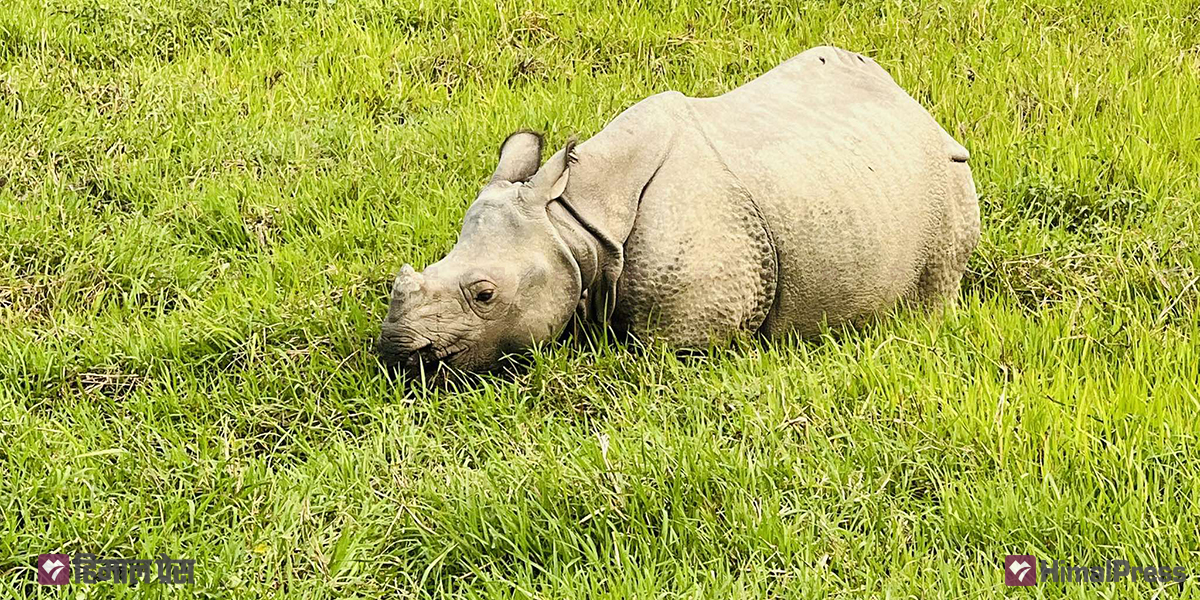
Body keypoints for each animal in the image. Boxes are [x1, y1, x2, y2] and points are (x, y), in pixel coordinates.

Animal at [377, 46, 980, 375]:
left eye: (484, 295)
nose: (396, 354)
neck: (573, 223)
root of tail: (919, 111)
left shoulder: (689, 337)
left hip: (948, 178)